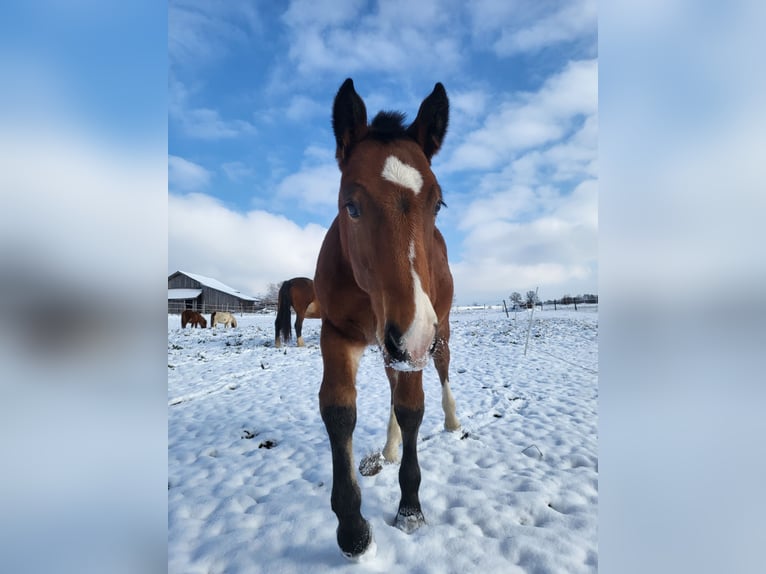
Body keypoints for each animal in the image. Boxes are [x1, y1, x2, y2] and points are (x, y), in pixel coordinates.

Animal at [314, 78, 460, 560]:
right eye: (351, 205)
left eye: (438, 203)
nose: (412, 335)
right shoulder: (337, 334)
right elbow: (339, 410)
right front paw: (352, 528)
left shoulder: (417, 337)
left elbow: (413, 408)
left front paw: (410, 509)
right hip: (389, 344)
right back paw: (391, 448)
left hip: (437, 331)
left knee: (441, 371)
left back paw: (451, 422)